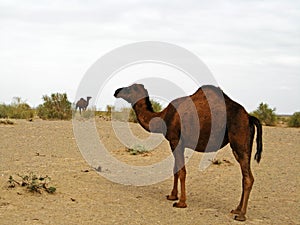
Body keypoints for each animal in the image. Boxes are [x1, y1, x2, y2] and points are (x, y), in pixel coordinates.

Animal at [113, 83, 262, 221]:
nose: (116, 91)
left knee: (248, 177)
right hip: (245, 144)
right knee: (245, 176)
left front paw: (181, 203)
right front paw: (172, 196)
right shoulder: (178, 144)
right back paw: (236, 209)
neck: (164, 117)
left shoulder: (175, 141)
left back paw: (241, 215)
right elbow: (175, 169)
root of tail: (249, 117)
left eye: (131, 88)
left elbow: (181, 171)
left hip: (239, 139)